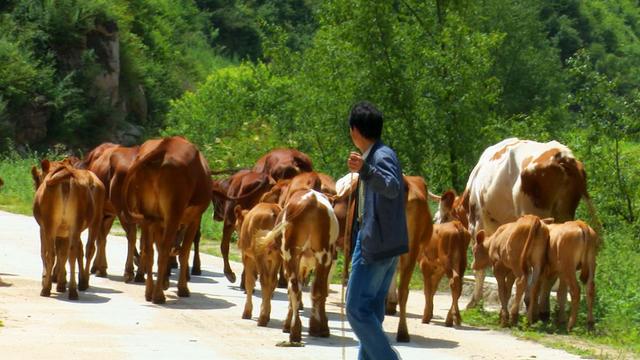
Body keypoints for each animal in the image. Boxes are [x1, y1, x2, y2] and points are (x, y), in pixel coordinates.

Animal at [31, 159, 105, 300]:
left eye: (37, 179)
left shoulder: (43, 228)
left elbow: (47, 252)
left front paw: (50, 279)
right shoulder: (64, 232)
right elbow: (63, 253)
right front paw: (61, 282)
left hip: (50, 225)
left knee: (50, 253)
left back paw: (47, 288)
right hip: (82, 223)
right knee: (79, 251)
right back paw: (75, 288)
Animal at [124, 136, 212, 302]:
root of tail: (165, 145)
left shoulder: (159, 221)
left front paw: (165, 281)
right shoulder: (194, 219)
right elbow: (184, 252)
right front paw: (182, 288)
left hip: (149, 217)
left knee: (149, 250)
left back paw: (149, 291)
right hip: (173, 214)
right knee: (164, 250)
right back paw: (158, 295)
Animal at [436, 139, 600, 308]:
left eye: (440, 219)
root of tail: (563, 157)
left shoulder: (477, 222)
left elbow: (480, 266)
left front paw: (474, 301)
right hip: (563, 216)